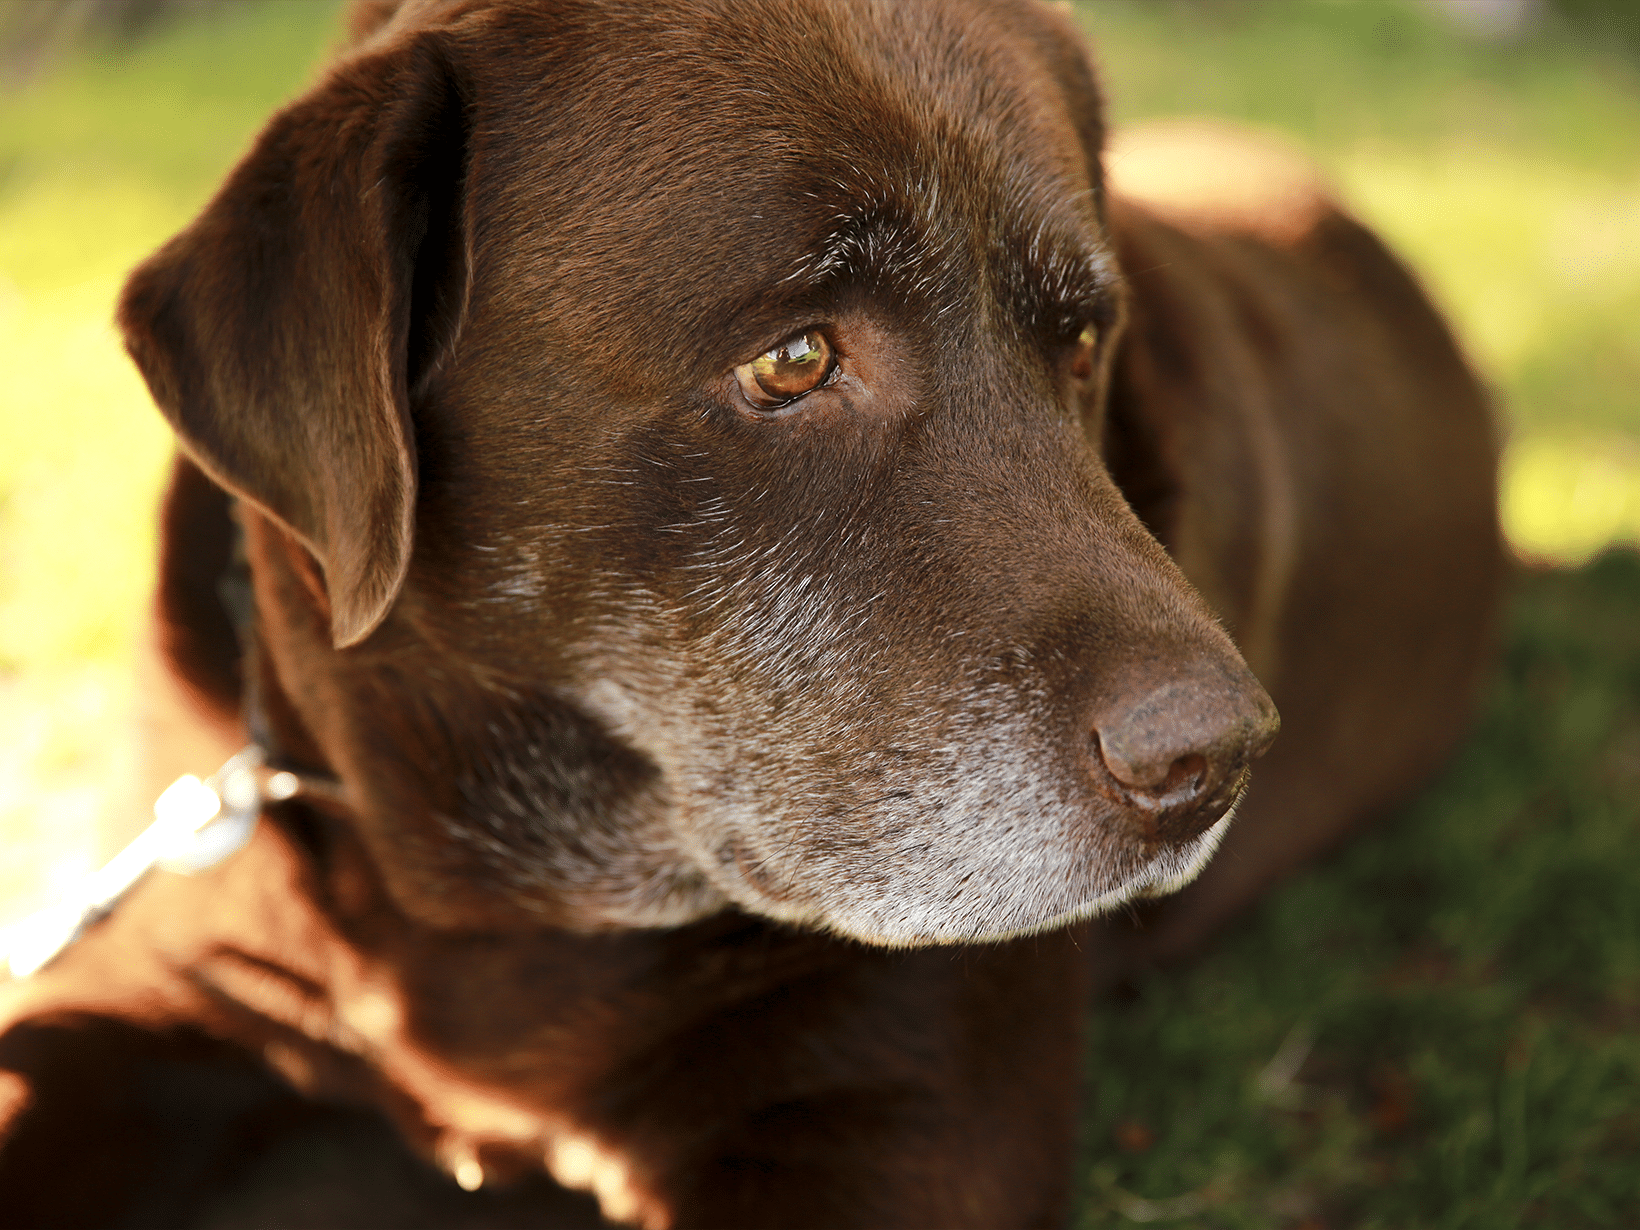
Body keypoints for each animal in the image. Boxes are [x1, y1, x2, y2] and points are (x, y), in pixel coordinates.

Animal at [0, 4, 1502, 1226]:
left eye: (1081, 344)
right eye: (792, 360)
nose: (1218, 758)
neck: (497, 898)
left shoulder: (893, 1116)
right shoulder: (129, 1004)